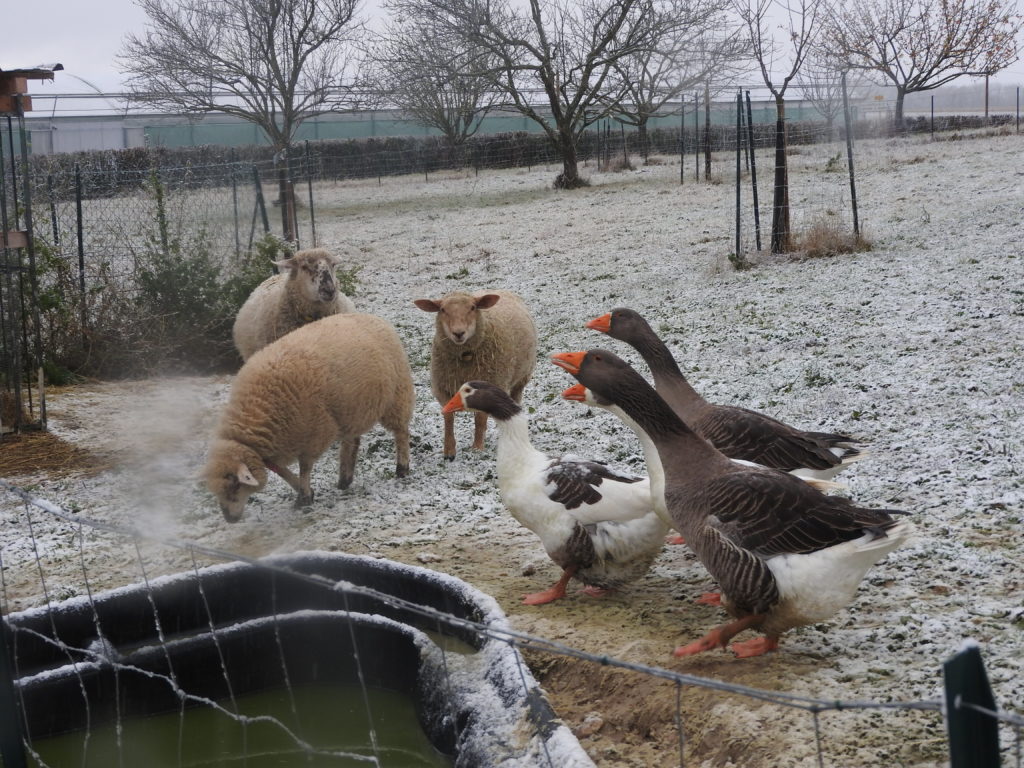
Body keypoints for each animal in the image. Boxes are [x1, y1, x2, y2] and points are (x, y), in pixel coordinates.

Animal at [205, 313, 413, 524]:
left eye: (235, 485)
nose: (229, 519)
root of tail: (372, 317)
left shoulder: (314, 432)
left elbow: (304, 467)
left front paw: (304, 496)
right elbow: (280, 469)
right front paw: (304, 491)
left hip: (396, 395)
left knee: (401, 432)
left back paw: (401, 468)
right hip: (351, 409)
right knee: (352, 440)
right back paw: (344, 479)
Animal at [411, 286, 536, 456]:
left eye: (472, 307)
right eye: (442, 309)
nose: (458, 333)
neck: (465, 357)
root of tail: (499, 289)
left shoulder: (488, 386)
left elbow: (480, 419)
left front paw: (477, 448)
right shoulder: (443, 389)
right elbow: (448, 418)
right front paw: (449, 451)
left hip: (521, 379)